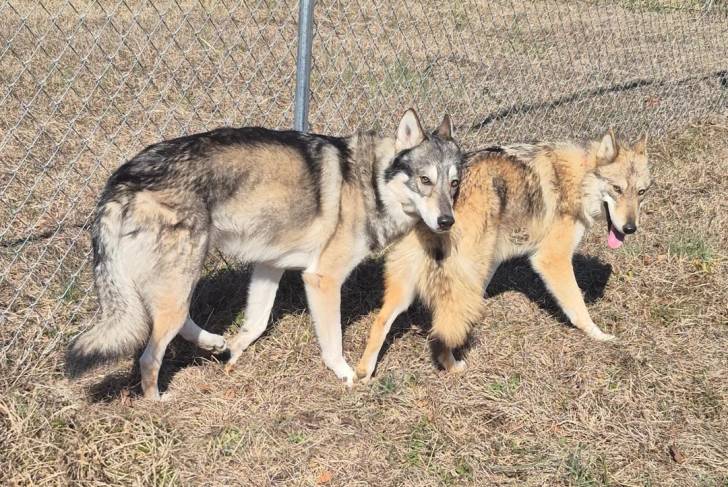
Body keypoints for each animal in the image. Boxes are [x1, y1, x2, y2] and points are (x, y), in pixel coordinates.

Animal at [66, 109, 464, 399]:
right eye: (425, 181)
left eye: (454, 184)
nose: (447, 221)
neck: (369, 183)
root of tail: (121, 180)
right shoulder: (321, 280)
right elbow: (332, 341)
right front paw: (346, 374)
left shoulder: (269, 266)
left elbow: (255, 323)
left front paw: (234, 355)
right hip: (181, 279)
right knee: (150, 356)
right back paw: (157, 402)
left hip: (179, 281)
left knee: (176, 324)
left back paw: (214, 343)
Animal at [356, 130, 651, 381]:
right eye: (617, 189)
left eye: (641, 192)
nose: (630, 228)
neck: (576, 178)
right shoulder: (551, 260)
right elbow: (579, 309)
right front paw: (600, 337)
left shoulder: (493, 260)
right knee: (442, 331)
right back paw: (453, 365)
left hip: (408, 284)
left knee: (383, 321)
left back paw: (363, 373)